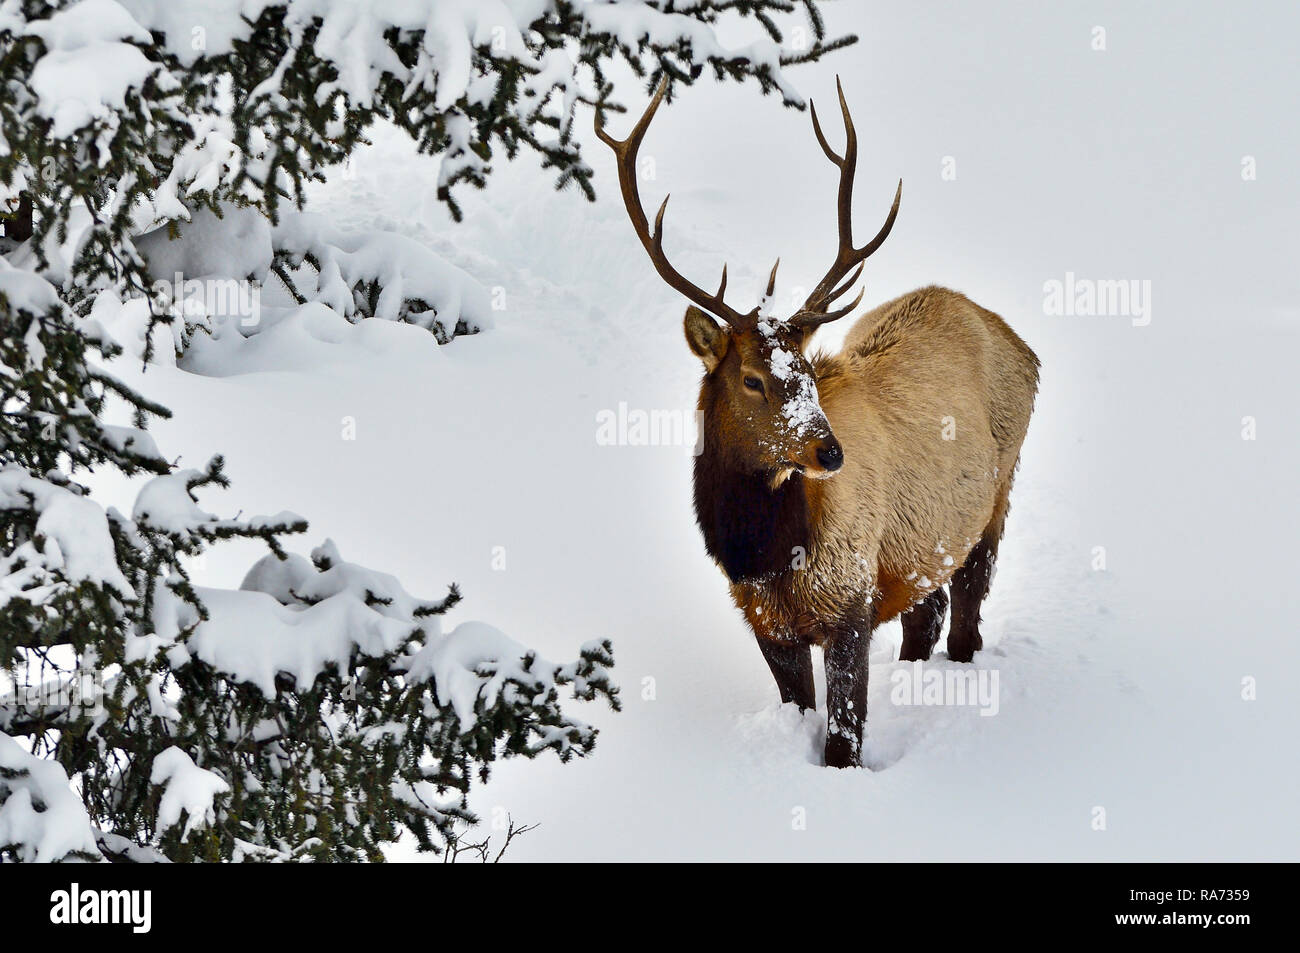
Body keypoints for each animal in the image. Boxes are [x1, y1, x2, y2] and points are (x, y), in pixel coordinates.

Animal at [595, 78, 1040, 769]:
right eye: (752, 377)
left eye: (805, 368)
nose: (830, 453)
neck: (763, 550)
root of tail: (1018, 341)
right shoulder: (765, 620)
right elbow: (799, 708)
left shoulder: (849, 601)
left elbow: (842, 740)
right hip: (925, 545)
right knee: (928, 608)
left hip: (996, 496)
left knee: (967, 607)